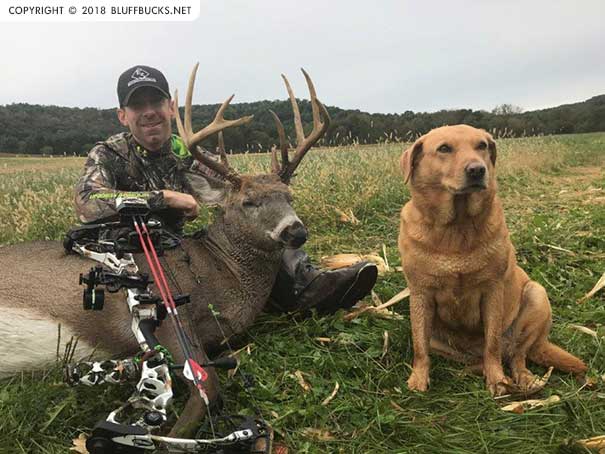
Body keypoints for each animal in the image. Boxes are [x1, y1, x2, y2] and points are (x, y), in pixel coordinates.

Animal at [0, 65, 330, 440]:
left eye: (289, 196)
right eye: (248, 202)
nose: (296, 230)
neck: (219, 271)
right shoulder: (167, 316)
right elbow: (207, 384)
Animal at [397, 124, 586, 396]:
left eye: (482, 146)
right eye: (444, 148)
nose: (477, 170)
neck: (456, 228)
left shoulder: (492, 291)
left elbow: (492, 344)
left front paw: (497, 380)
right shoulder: (420, 294)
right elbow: (420, 347)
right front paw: (418, 380)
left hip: (536, 295)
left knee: (516, 355)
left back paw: (521, 379)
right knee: (473, 359)